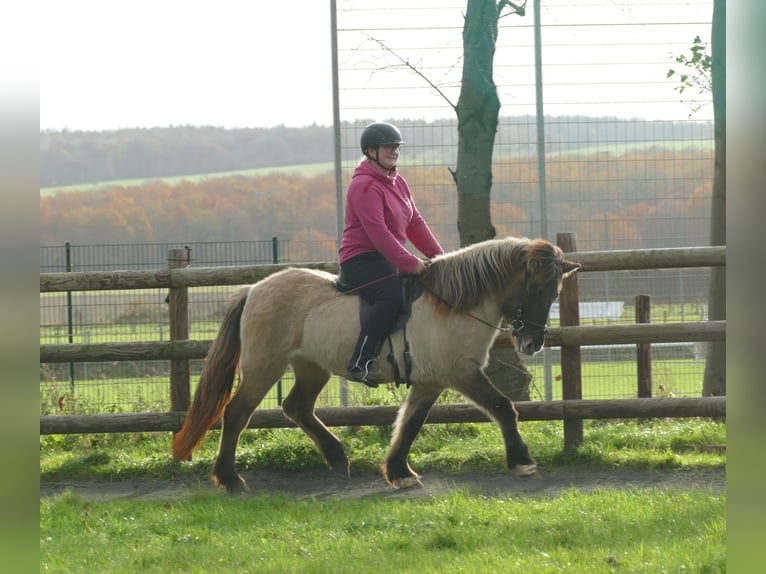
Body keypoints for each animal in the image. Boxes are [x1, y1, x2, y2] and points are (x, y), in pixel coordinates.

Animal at [176, 236, 584, 492]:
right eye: (537, 289)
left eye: (555, 293)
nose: (532, 344)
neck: (453, 305)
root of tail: (254, 289)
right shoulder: (461, 372)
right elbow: (502, 407)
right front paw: (521, 460)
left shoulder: (431, 382)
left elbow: (410, 424)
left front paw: (399, 472)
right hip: (264, 367)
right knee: (237, 413)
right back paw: (229, 478)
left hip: (311, 367)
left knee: (296, 407)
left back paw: (337, 458)